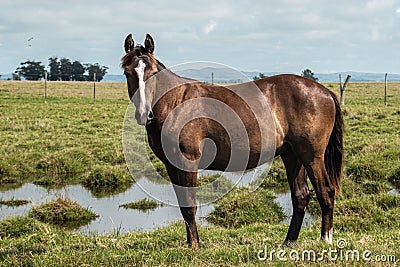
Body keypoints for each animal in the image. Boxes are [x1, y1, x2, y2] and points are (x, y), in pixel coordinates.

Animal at [122, 34, 344, 251]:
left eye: (152, 73)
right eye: (127, 73)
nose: (144, 114)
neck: (175, 104)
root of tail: (325, 92)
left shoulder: (188, 161)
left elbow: (190, 205)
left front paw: (195, 246)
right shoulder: (171, 165)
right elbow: (184, 205)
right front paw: (191, 243)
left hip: (311, 156)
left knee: (326, 192)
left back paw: (325, 239)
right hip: (292, 155)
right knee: (301, 196)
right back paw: (289, 242)